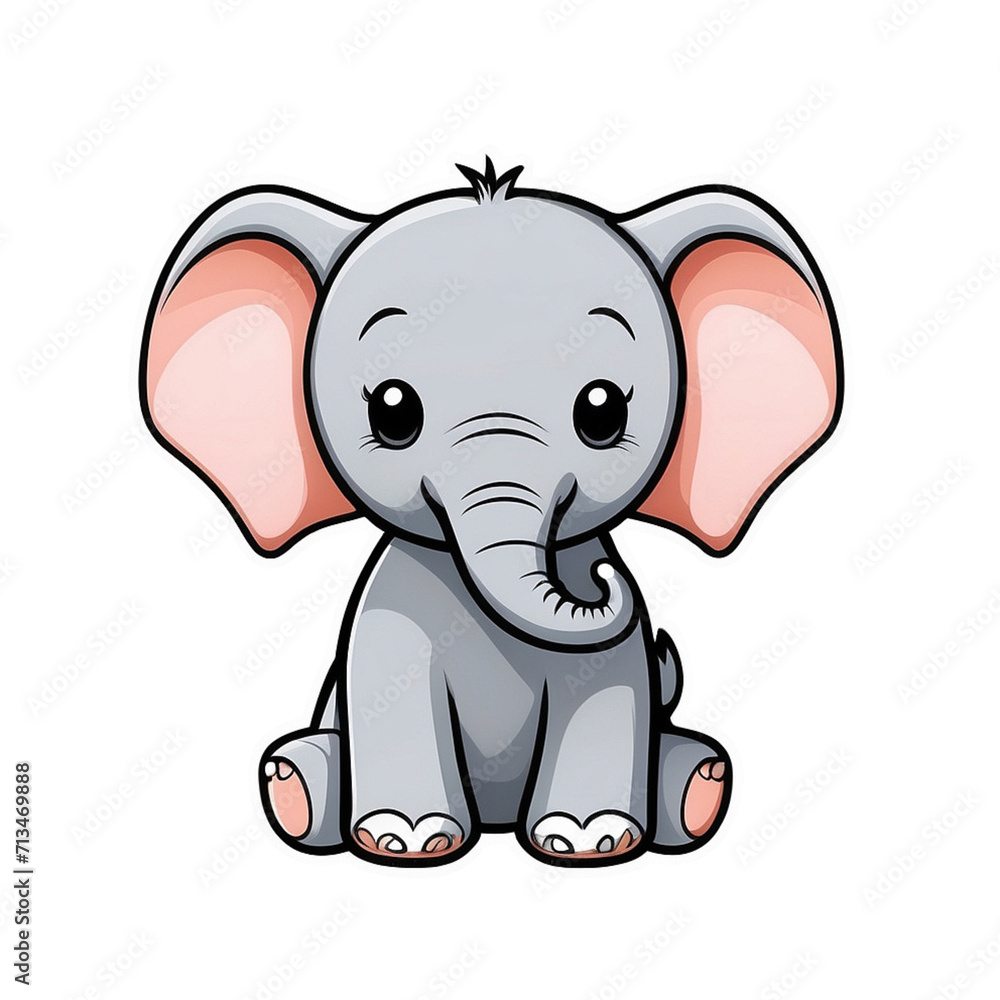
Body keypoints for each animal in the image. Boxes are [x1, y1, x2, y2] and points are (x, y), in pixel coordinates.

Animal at [140, 158, 841, 866]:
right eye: (392, 410)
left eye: (603, 411)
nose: (601, 581)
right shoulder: (390, 611)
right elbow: (392, 689)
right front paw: (404, 839)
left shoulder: (616, 653)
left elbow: (607, 692)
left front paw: (590, 840)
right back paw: (293, 787)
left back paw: (698, 787)